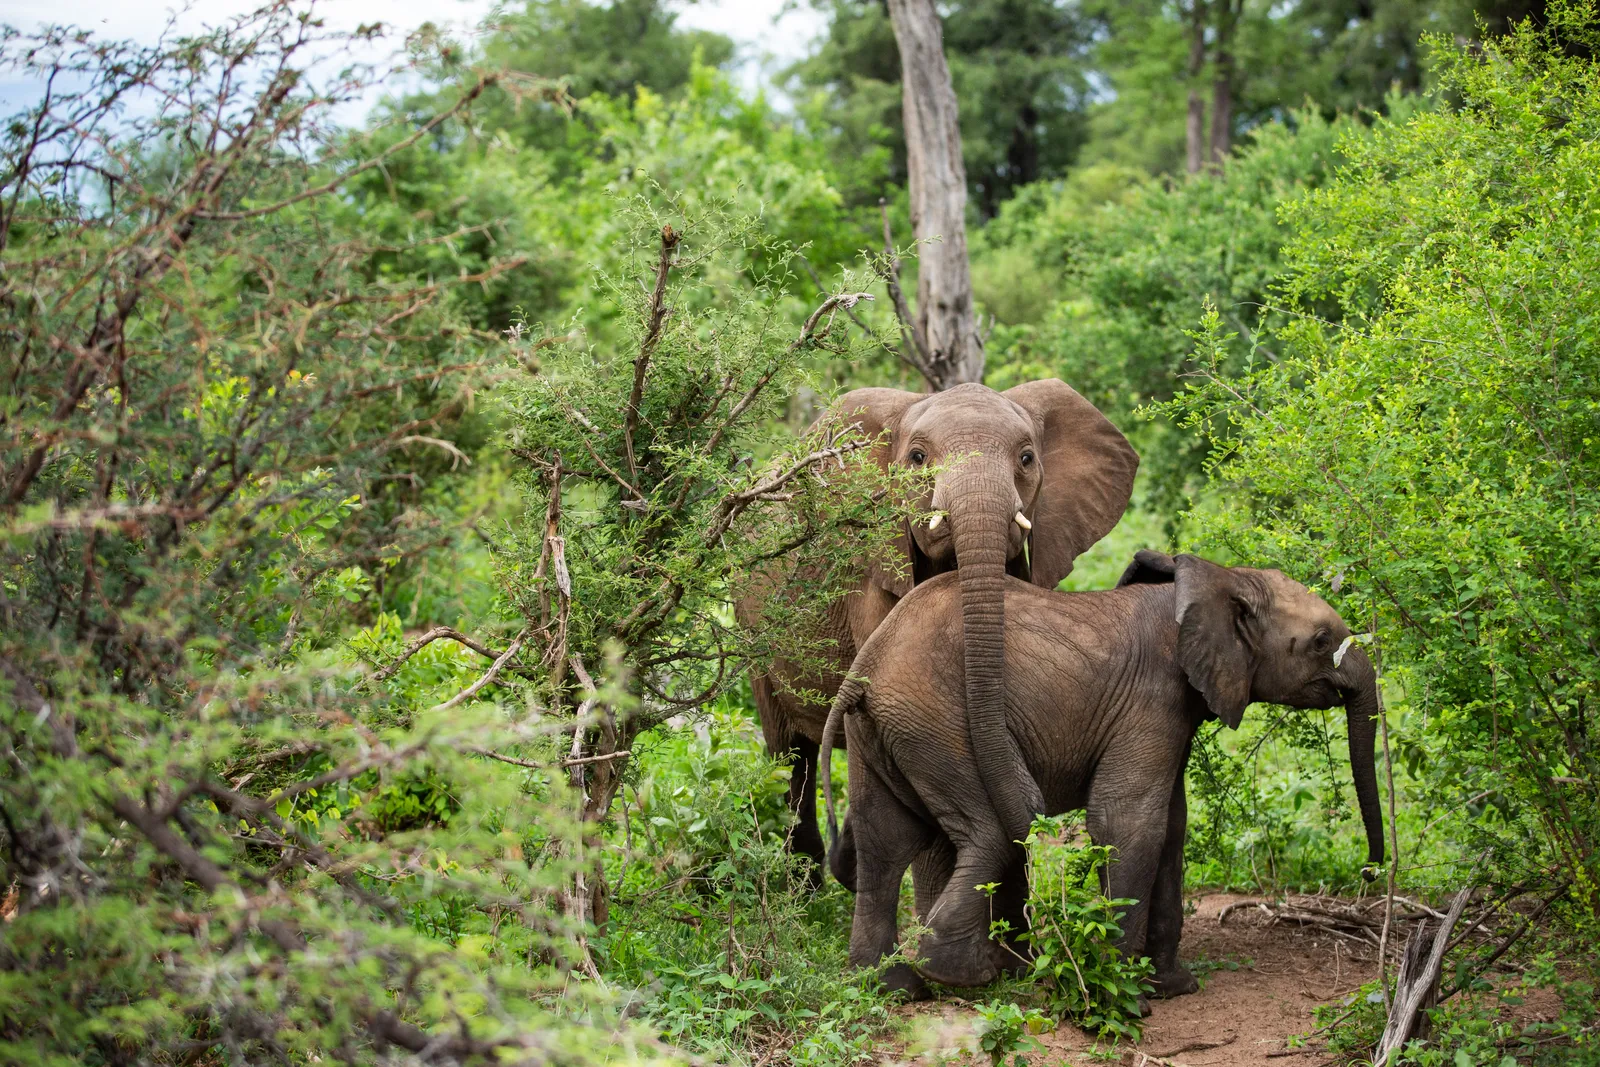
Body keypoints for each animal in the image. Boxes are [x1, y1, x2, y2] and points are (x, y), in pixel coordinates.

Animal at [819, 550, 1387, 1001]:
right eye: (1321, 641)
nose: (1368, 874)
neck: (1221, 579)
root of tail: (866, 667)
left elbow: (1171, 827)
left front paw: (1172, 988)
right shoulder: (1154, 697)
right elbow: (1129, 822)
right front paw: (1123, 992)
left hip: (886, 731)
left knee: (883, 843)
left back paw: (893, 989)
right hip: (939, 721)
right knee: (990, 832)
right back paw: (965, 977)